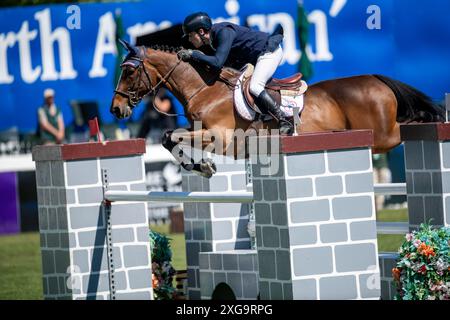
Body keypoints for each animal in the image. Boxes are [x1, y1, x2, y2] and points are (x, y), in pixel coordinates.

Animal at [110, 40, 444, 178]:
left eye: (129, 71)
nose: (115, 109)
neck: (204, 89)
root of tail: (375, 77)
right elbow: (169, 138)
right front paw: (202, 167)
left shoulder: (221, 137)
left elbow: (171, 137)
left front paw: (203, 166)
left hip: (384, 135)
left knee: (411, 125)